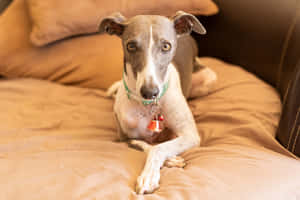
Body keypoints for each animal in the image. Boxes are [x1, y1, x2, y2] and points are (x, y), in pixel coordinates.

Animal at [99, 11, 217, 195]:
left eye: (166, 46)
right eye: (131, 46)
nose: (149, 92)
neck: (146, 105)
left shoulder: (190, 135)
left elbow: (159, 147)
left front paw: (148, 176)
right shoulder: (123, 138)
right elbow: (147, 145)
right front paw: (171, 161)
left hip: (209, 79)